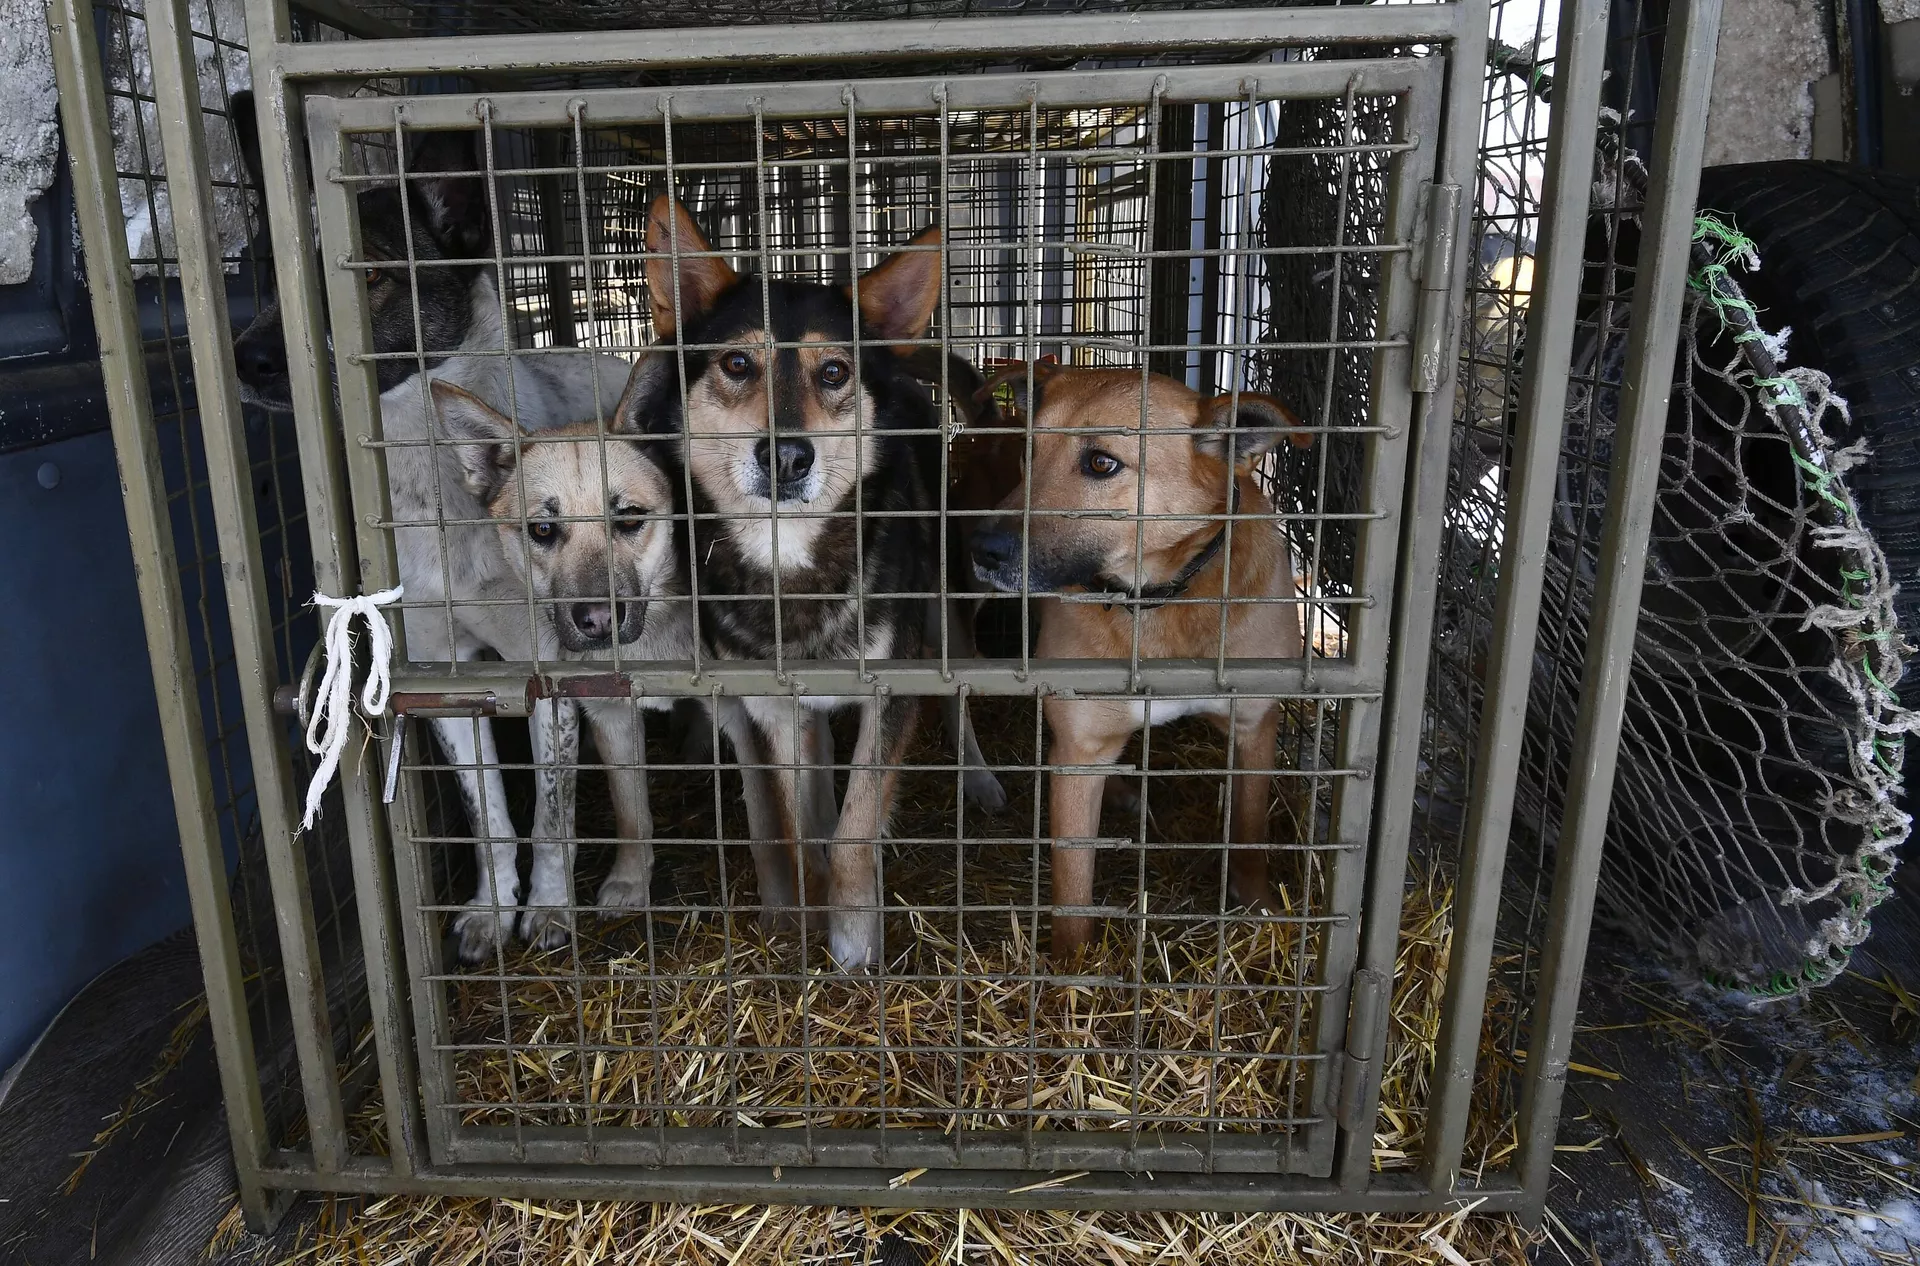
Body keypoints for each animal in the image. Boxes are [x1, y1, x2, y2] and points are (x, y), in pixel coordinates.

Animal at [618, 197, 948, 972]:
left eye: (833, 372)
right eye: (739, 363)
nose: (789, 455)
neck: (789, 563)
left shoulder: (892, 696)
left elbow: (857, 830)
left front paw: (854, 946)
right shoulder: (773, 709)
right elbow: (799, 833)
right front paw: (807, 922)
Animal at [975, 361, 1305, 956]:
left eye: (1102, 462)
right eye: (1028, 450)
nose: (979, 547)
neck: (1157, 598)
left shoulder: (1255, 724)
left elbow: (1249, 831)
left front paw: (1258, 906)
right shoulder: (1080, 750)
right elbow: (1072, 889)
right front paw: (1072, 969)